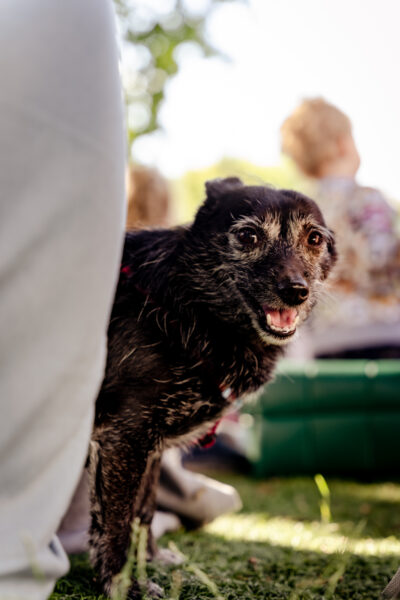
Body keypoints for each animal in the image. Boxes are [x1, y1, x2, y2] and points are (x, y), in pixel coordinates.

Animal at [88, 177, 336, 598]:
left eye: (314, 238)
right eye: (249, 235)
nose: (296, 291)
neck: (188, 309)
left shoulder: (148, 448)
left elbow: (143, 511)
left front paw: (151, 559)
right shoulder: (125, 438)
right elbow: (118, 522)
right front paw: (123, 584)